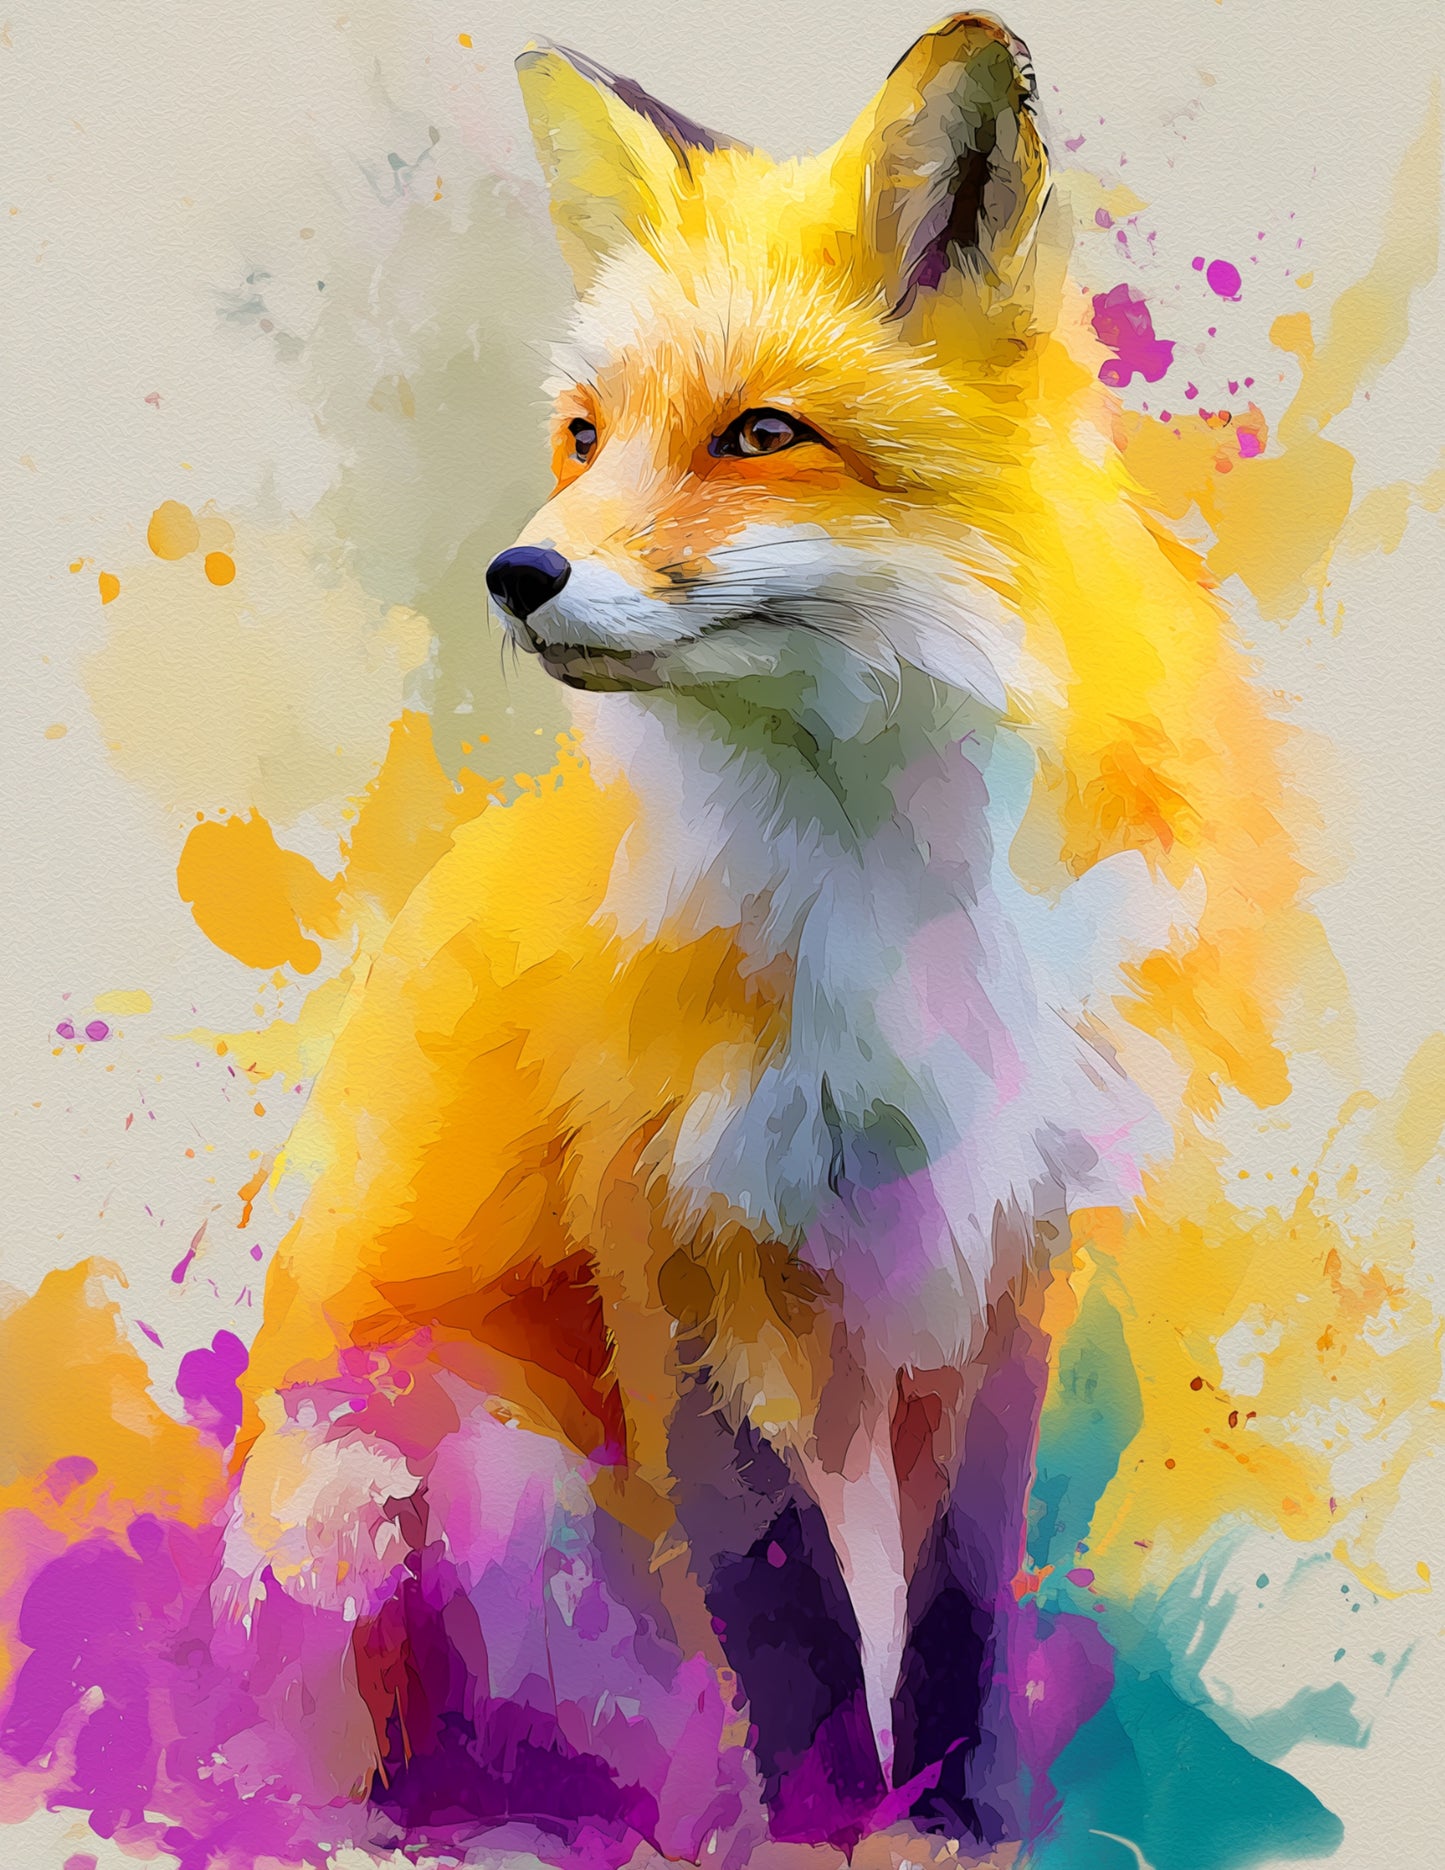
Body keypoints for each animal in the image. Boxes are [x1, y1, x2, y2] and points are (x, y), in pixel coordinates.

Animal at [215, 11, 1308, 1861]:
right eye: (585, 436)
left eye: (759, 435)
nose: (517, 573)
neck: (884, 895)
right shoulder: (676, 1230)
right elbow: (781, 1599)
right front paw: (826, 1826)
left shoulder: (998, 1239)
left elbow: (951, 1594)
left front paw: (958, 1816)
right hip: (420, 1475)